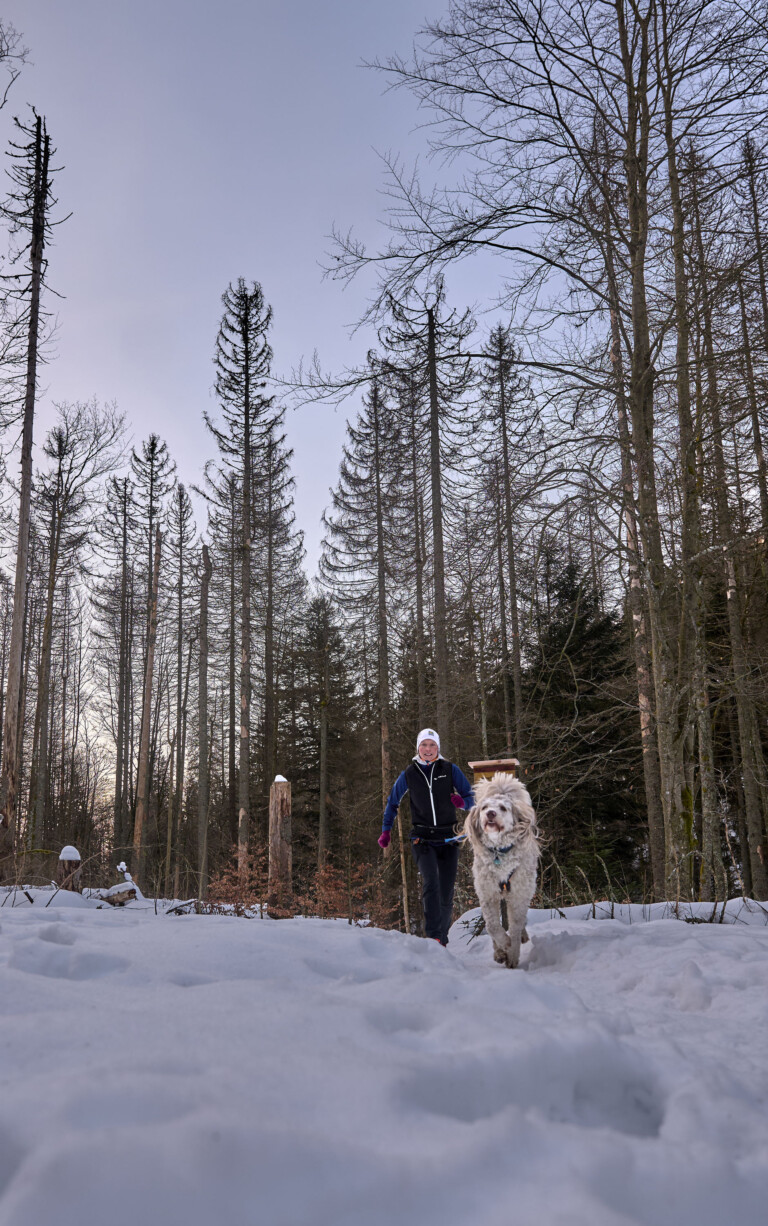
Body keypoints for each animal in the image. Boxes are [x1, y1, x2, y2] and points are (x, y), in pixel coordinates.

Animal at [464, 773, 540, 968]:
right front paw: (504, 945)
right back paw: (499, 952)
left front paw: (512, 954)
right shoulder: (487, 895)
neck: (499, 851)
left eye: (503, 808)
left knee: (519, 922)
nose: (490, 813)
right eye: (484, 807)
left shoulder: (519, 895)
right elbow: (492, 927)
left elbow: (514, 927)